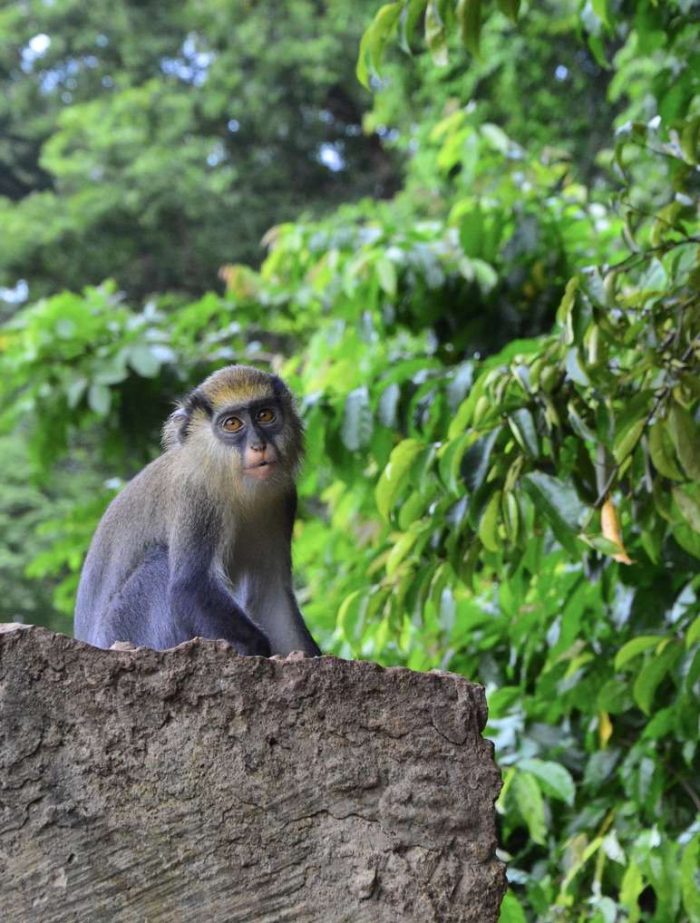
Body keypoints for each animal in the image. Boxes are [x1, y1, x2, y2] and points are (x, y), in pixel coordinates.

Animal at [74, 365, 321, 657]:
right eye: (233, 423)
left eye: (265, 415)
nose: (259, 446)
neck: (235, 485)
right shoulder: (197, 494)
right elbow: (189, 586)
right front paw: (256, 647)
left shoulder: (284, 498)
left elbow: (273, 597)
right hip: (123, 627)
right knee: (159, 565)